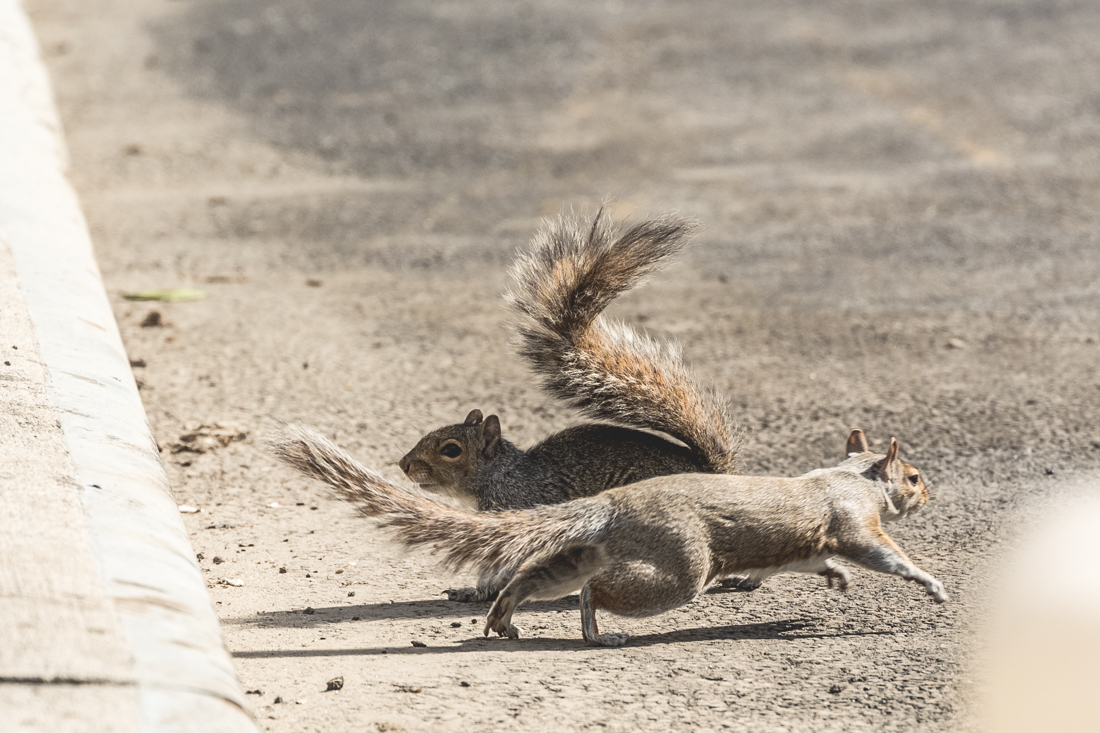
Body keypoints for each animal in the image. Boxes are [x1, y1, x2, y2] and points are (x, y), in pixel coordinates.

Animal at [272, 422, 946, 647]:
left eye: (450, 449)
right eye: (912, 476)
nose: (929, 491)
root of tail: (609, 505)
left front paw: (834, 577)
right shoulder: (852, 522)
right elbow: (879, 553)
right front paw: (928, 583)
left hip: (591, 552)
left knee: (538, 579)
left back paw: (506, 617)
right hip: (674, 569)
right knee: (593, 590)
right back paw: (590, 629)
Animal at [396, 211, 739, 598]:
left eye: (451, 449)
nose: (404, 464)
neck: (501, 475)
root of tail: (710, 474)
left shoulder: (516, 515)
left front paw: (476, 592)